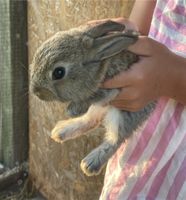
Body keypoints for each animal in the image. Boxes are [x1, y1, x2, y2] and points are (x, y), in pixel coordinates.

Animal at [30, 20, 155, 177]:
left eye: (58, 72)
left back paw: (91, 163)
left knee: (117, 138)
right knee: (91, 121)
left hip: (123, 114)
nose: (36, 92)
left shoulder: (112, 88)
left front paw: (72, 109)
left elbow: (94, 97)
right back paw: (61, 131)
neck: (97, 65)